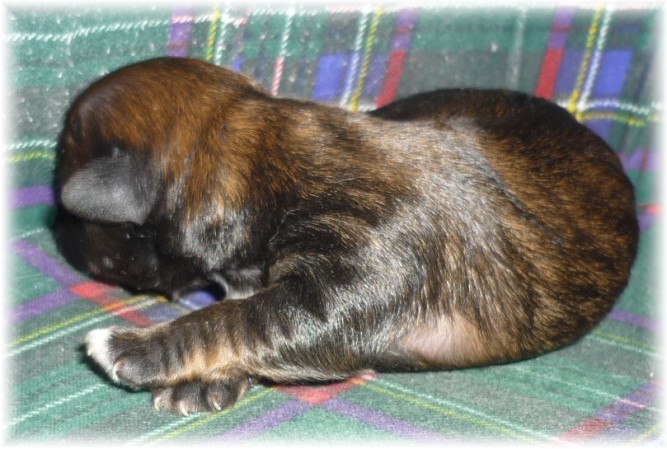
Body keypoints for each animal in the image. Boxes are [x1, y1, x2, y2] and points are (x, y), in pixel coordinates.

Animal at [54, 57, 638, 415]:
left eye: (68, 205)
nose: (55, 227)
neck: (262, 161)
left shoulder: (346, 282)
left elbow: (235, 319)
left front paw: (133, 350)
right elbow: (236, 311)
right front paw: (204, 382)